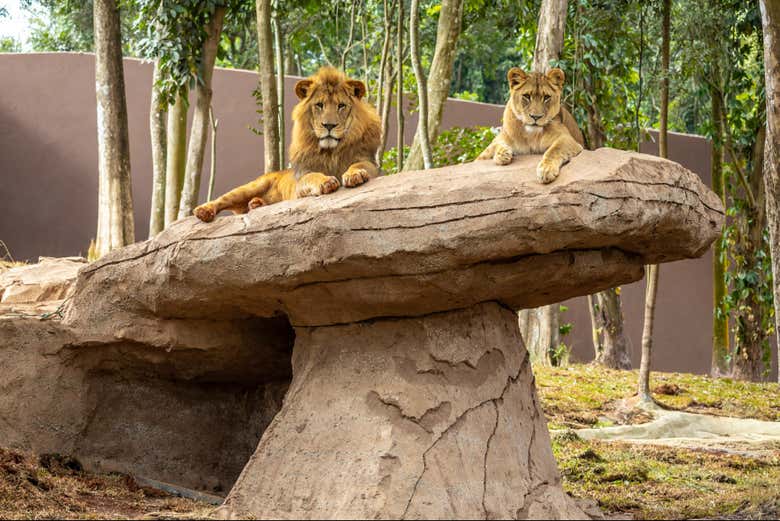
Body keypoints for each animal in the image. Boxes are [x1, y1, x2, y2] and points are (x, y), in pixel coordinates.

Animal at [194, 67, 381, 222]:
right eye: (319, 105)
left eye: (341, 105)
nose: (329, 125)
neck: (331, 151)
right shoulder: (302, 178)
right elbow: (312, 176)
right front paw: (326, 181)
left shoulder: (368, 162)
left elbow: (359, 165)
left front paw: (354, 175)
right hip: (250, 187)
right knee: (222, 199)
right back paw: (204, 211)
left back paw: (256, 204)